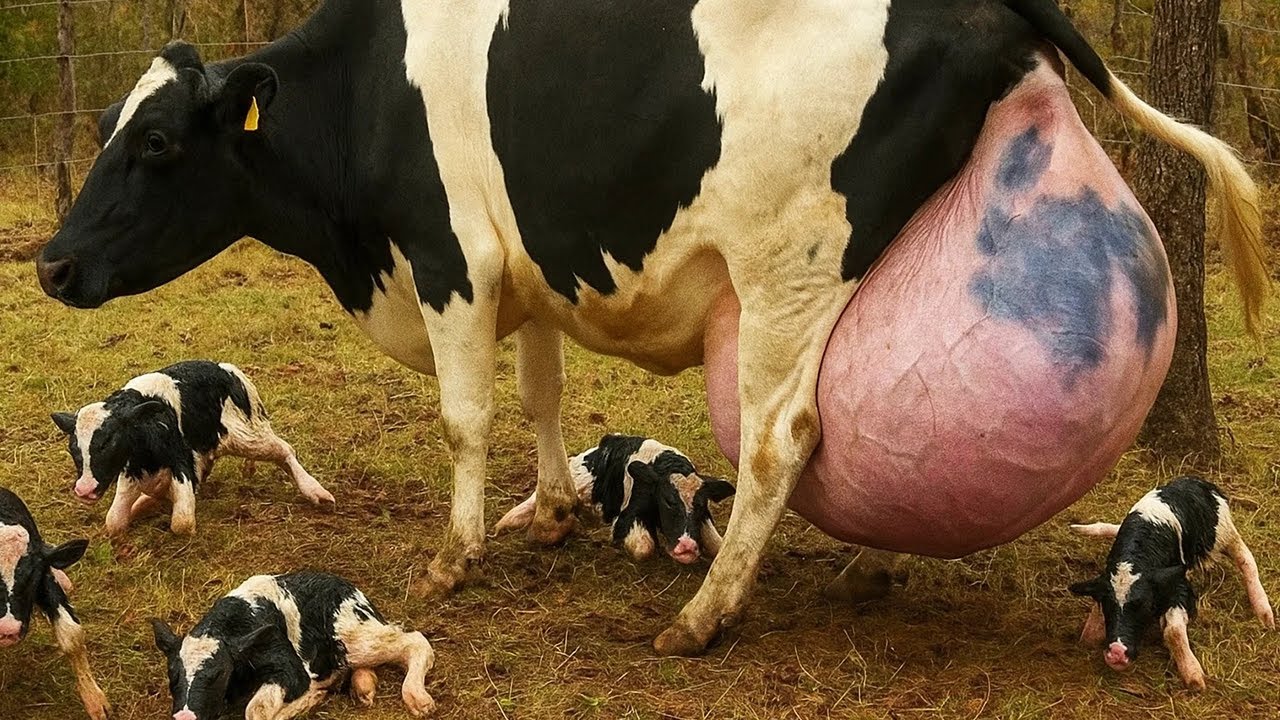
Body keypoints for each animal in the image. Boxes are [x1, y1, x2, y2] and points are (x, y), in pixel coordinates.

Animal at [51, 360, 333, 537]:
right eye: (73, 447)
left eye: (109, 441)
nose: (85, 489)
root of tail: (225, 369)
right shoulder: (131, 472)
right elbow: (115, 522)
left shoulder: (182, 464)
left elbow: (182, 522)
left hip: (247, 436)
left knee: (284, 450)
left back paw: (317, 492)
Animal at [1070, 476, 1274, 690]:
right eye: (1107, 606)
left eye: (1145, 606)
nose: (1117, 653)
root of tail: (1194, 479)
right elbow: (1088, 635)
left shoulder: (1179, 585)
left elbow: (1174, 631)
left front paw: (1193, 675)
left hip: (1224, 533)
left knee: (1246, 560)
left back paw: (1264, 613)